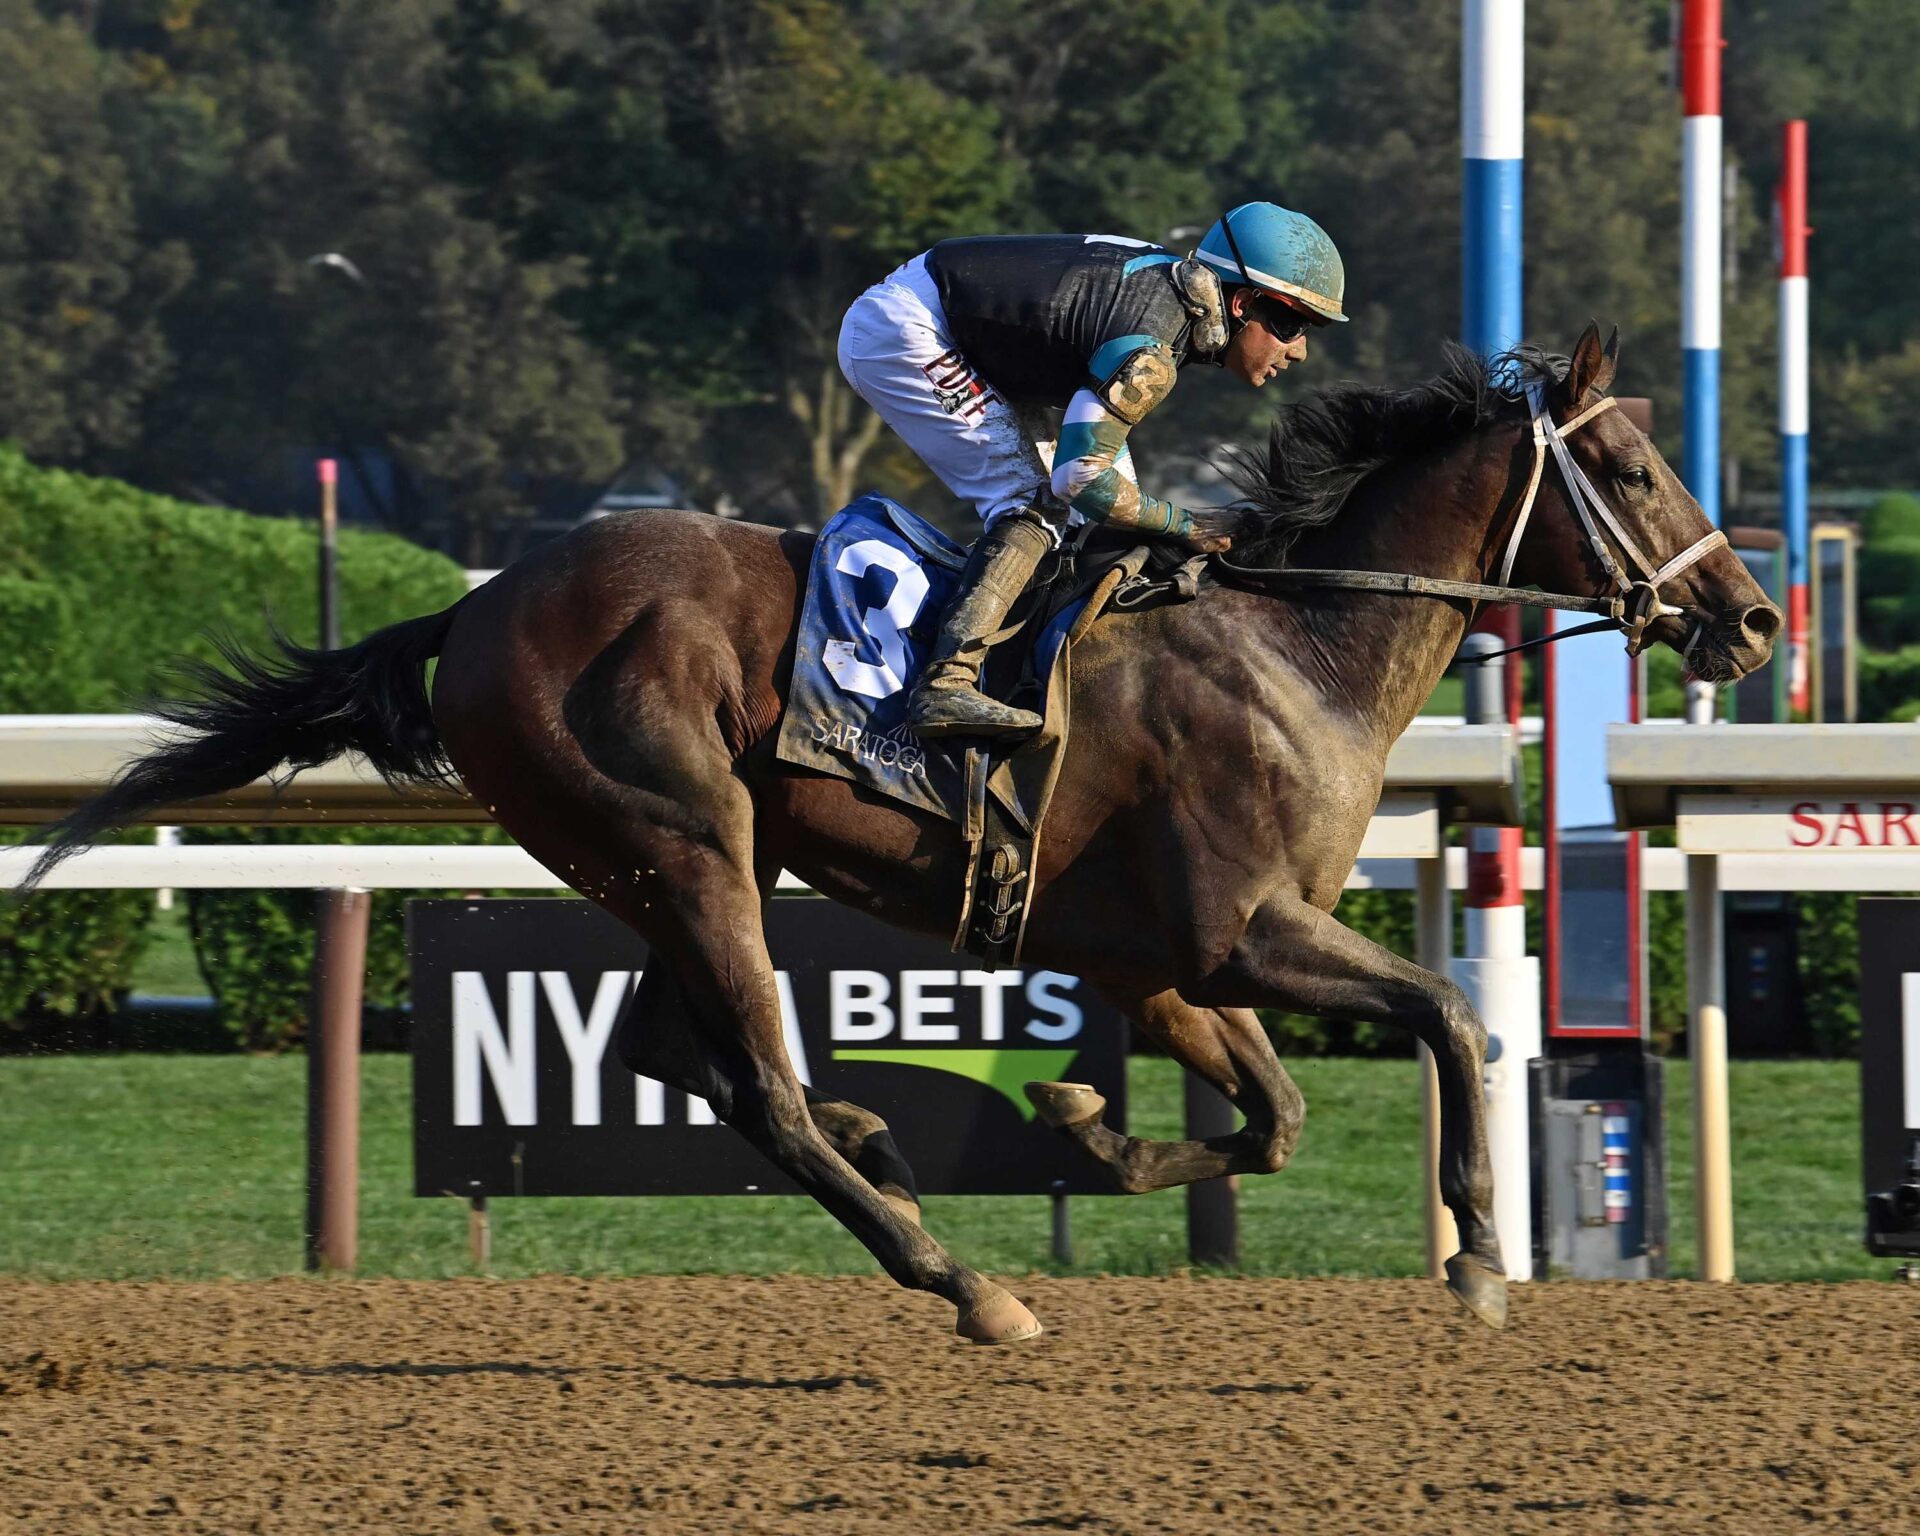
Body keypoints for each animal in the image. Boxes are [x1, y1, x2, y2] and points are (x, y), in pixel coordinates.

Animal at [24, 324, 1777, 1344]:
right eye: (1632, 465)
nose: (1754, 620)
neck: (1299, 643)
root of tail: (473, 611)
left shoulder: (1152, 963)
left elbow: (1271, 1119)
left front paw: (1086, 1125)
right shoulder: (1242, 933)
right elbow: (1450, 1021)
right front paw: (1478, 1257)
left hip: (679, 863)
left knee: (678, 1050)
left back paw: (886, 1152)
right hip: (685, 842)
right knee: (755, 1081)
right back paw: (960, 1279)